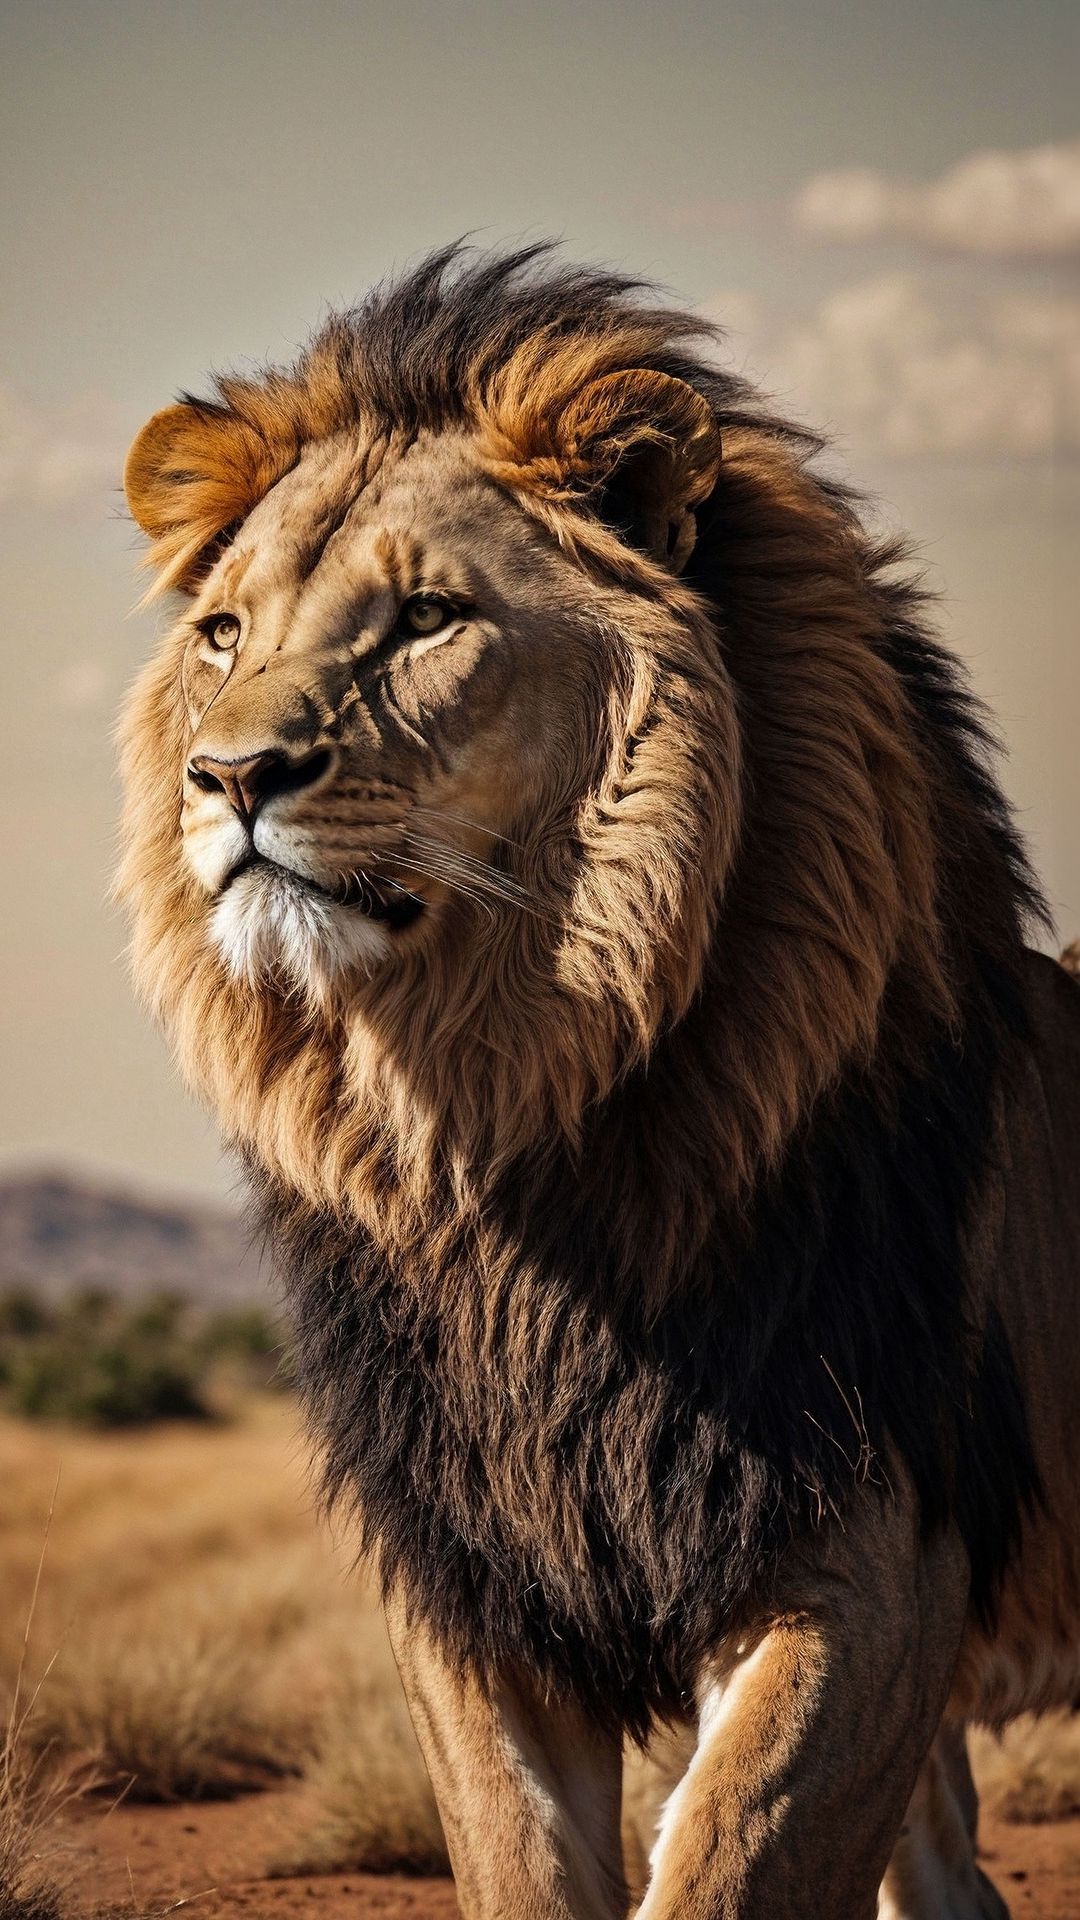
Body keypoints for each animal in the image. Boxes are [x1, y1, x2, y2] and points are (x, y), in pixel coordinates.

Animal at [117, 244, 1080, 1920]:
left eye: (428, 617)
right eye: (225, 633)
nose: (229, 776)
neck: (508, 1134)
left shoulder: (873, 1562)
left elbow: (725, 1859)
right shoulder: (474, 1583)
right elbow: (519, 1863)